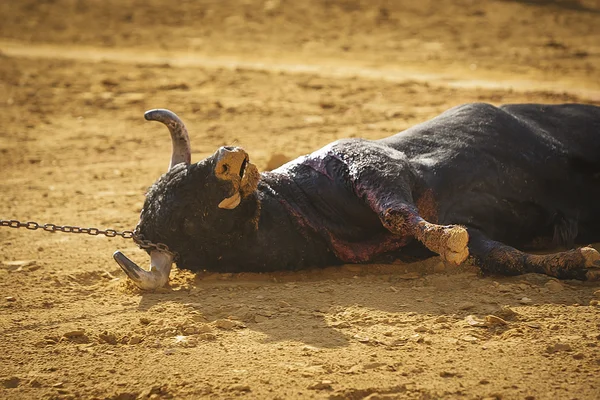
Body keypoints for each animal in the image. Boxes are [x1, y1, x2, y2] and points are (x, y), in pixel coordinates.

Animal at [112, 102, 600, 290]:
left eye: (188, 174)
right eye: (185, 216)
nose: (228, 158)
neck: (310, 210)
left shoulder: (368, 161)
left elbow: (394, 210)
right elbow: (496, 254)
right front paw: (577, 260)